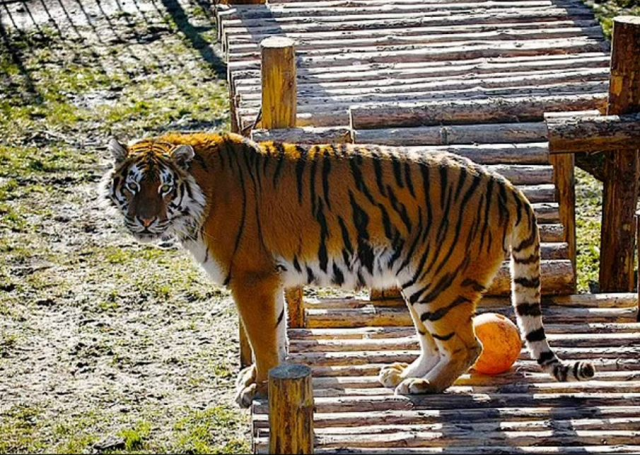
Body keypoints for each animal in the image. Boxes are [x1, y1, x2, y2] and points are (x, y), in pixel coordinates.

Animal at [100, 132, 596, 410]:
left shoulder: (251, 277)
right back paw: (402, 375)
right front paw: (263, 378)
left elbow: (264, 341)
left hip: (439, 285)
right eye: (134, 186)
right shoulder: (268, 281)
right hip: (420, 282)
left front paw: (258, 389)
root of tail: (505, 184)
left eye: (164, 189)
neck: (197, 197)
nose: (145, 220)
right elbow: (278, 335)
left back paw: (422, 387)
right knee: (435, 343)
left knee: (467, 346)